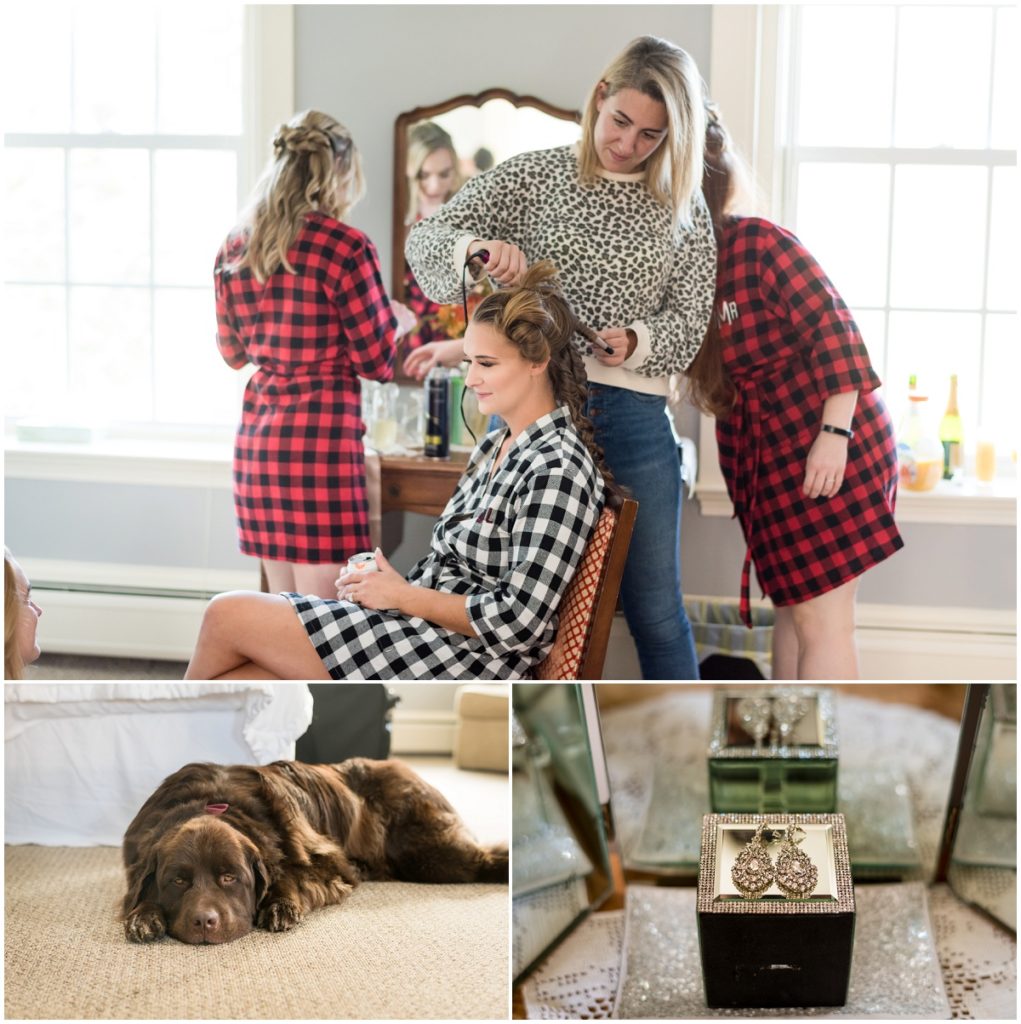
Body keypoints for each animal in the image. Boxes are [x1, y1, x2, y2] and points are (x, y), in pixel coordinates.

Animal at [121, 757, 507, 946]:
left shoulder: (325, 862)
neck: (213, 802)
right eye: (178, 881)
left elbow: (290, 875)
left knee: (482, 859)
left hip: (426, 854)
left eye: (230, 878)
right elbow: (139, 895)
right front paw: (143, 916)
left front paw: (280, 906)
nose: (205, 921)